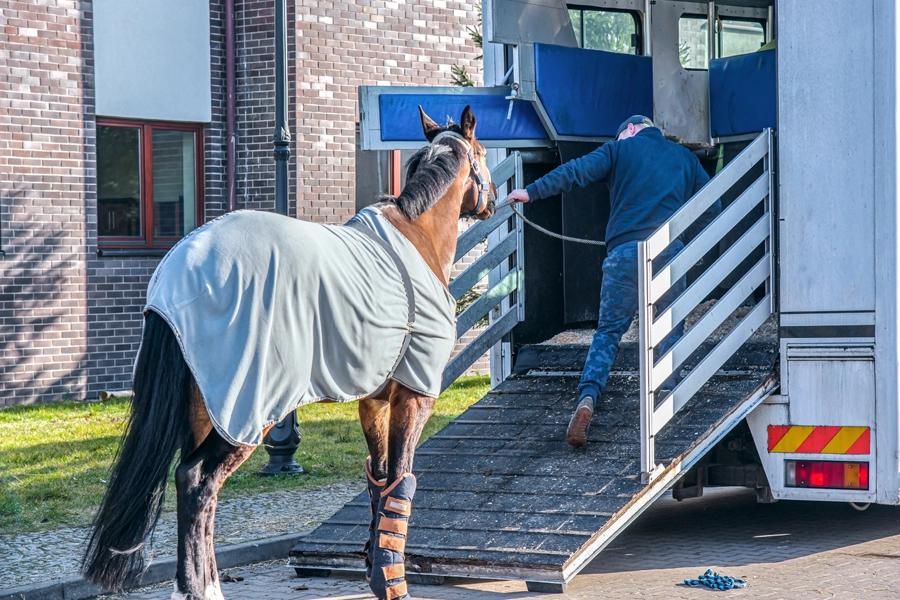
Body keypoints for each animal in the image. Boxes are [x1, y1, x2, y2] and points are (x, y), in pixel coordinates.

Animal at [82, 105, 496, 600]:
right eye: (483, 153)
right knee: (198, 482)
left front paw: (376, 569)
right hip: (246, 408)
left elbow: (378, 480)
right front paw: (392, 582)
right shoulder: (414, 395)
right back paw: (202, 588)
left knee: (195, 489)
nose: (493, 201)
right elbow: (401, 478)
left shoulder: (374, 400)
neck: (416, 236)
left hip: (204, 408)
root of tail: (176, 274)